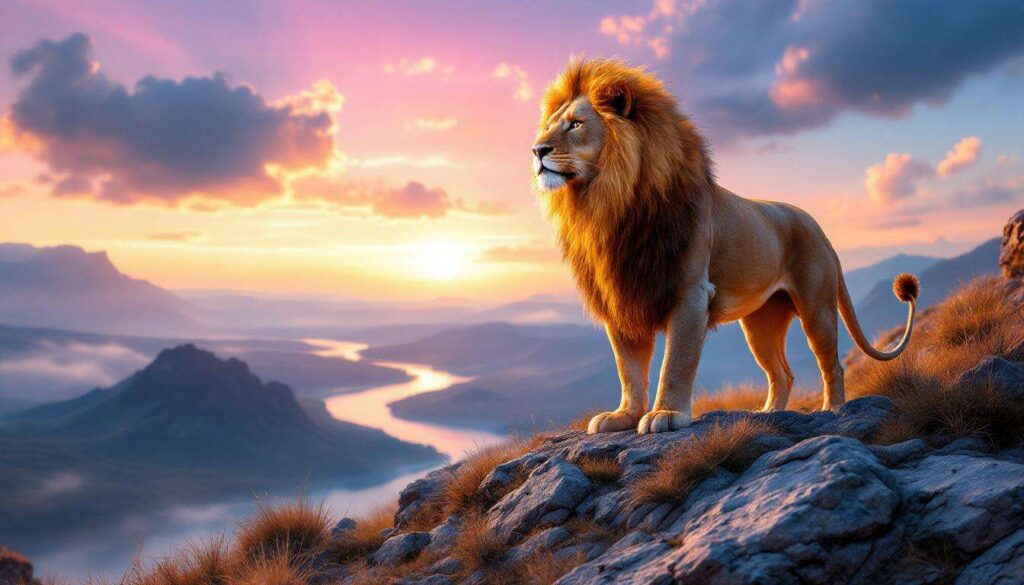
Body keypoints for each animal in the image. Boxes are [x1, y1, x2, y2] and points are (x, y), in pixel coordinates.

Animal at [532, 58, 919, 435]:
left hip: (816, 308)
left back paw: (833, 410)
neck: (610, 205)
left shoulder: (691, 293)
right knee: (782, 373)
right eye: (548, 126)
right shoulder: (622, 295)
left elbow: (675, 362)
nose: (537, 150)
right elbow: (628, 369)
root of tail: (818, 227)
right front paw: (624, 415)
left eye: (575, 124)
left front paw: (666, 414)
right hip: (760, 323)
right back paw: (768, 414)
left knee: (832, 365)